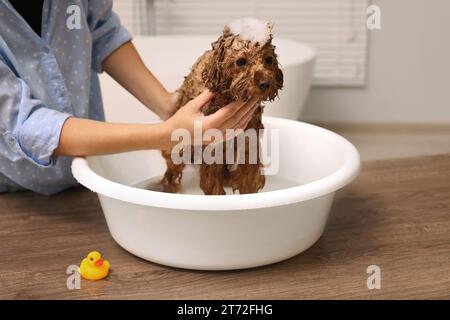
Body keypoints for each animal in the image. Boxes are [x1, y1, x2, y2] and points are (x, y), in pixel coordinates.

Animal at [162, 20, 284, 196]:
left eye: (268, 60)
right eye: (241, 61)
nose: (265, 84)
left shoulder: (249, 147)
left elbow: (249, 183)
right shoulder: (212, 152)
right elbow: (213, 186)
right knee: (171, 169)